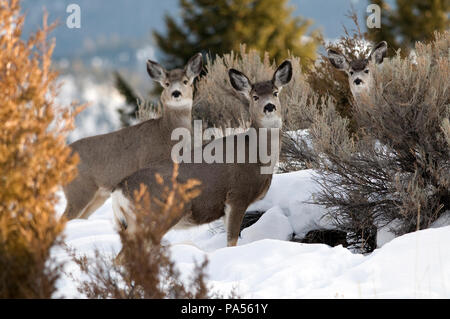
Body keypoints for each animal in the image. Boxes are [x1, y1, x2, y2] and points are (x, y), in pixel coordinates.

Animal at [62, 53, 203, 221]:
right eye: (167, 83)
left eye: (185, 81)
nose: (176, 93)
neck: (165, 133)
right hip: (78, 188)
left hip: (98, 195)